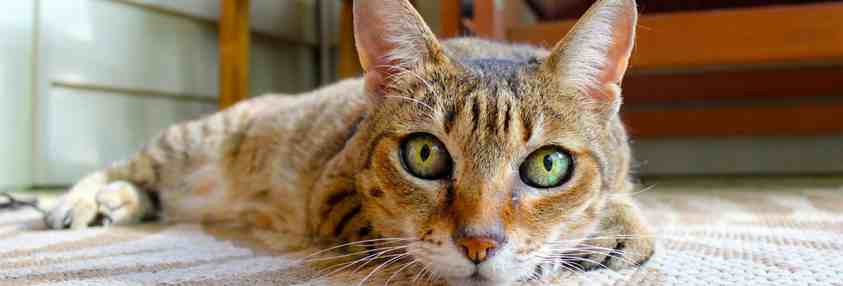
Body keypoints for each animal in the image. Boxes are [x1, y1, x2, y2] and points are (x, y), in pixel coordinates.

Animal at [44, 0, 652, 284]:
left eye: (548, 165)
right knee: (124, 166)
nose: (479, 244)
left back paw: (116, 205)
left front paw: (612, 228)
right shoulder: (333, 194)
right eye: (424, 154)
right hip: (189, 142)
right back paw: (78, 202)